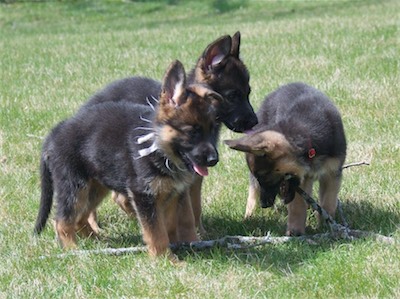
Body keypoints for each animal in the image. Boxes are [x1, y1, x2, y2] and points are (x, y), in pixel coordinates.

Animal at [33, 59, 222, 258]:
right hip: (74, 186)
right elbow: (156, 231)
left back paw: (100, 244)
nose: (213, 160)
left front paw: (184, 246)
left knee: (80, 217)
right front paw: (165, 258)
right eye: (193, 132)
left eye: (212, 129)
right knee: (62, 221)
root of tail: (53, 135)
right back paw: (73, 250)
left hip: (95, 186)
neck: (160, 149)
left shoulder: (175, 194)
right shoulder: (144, 196)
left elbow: (173, 225)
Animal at [225, 82, 346, 237]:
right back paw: (249, 216)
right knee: (253, 189)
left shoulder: (332, 174)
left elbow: (328, 203)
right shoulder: (302, 181)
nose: (264, 204)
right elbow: (297, 207)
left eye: (264, 175)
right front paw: (295, 232)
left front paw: (326, 227)